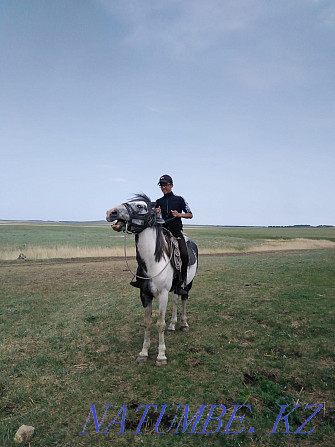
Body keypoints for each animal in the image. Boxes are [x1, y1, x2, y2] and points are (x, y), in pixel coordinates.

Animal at [106, 194, 198, 366]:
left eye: (140, 206)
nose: (111, 212)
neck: (153, 262)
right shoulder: (144, 295)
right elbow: (147, 323)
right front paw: (143, 353)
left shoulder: (162, 295)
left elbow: (160, 324)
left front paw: (161, 356)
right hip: (175, 288)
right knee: (176, 300)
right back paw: (173, 325)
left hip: (188, 284)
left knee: (184, 299)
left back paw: (184, 324)